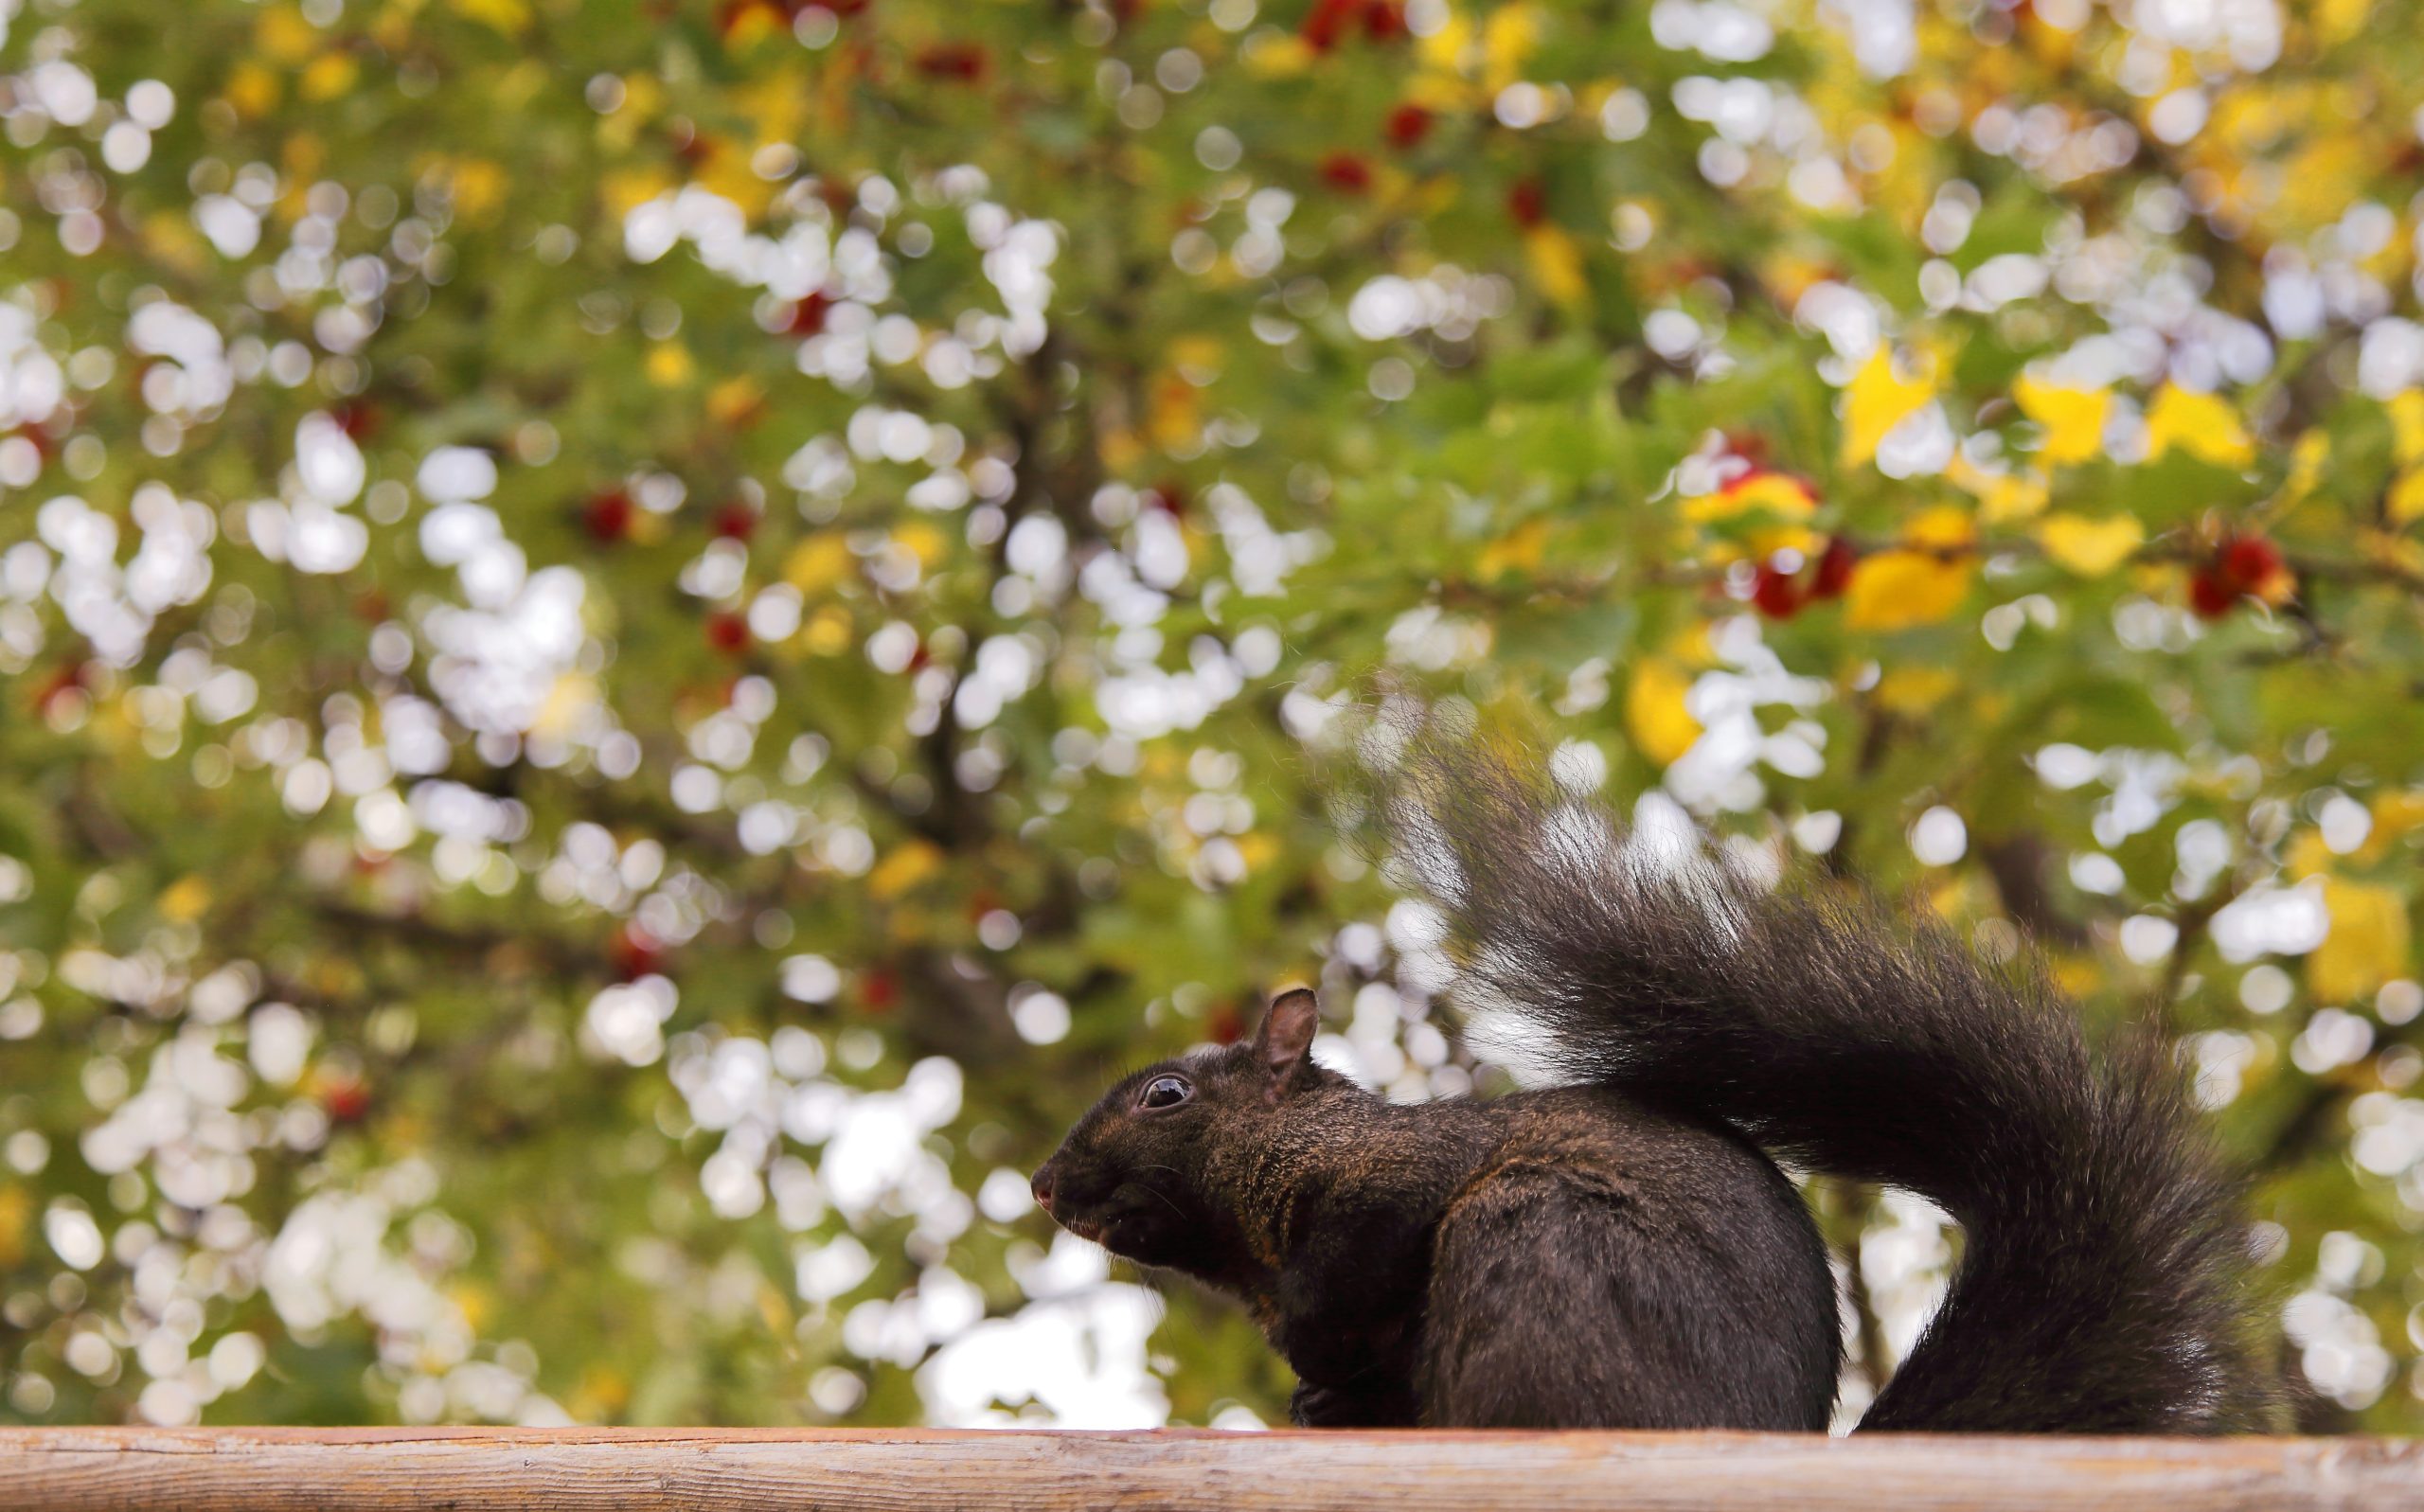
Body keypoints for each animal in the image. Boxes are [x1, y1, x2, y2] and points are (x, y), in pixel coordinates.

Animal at [1030, 715, 2271, 1432]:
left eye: (1167, 1096)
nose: (1043, 1183)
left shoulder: (1388, 1183)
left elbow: (1355, 1262)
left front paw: (1308, 1346)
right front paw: (1314, 1388)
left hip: (1540, 1249)